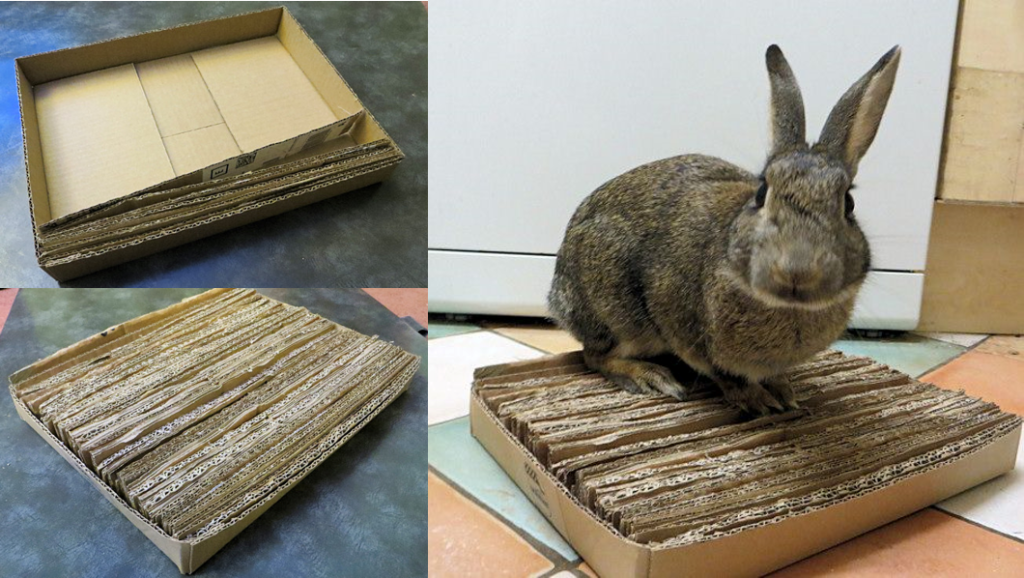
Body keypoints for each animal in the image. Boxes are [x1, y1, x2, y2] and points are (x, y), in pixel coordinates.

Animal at [548, 44, 901, 416]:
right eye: (761, 193)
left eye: (848, 204)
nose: (797, 271)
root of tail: (556, 295)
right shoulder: (683, 324)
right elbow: (722, 372)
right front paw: (758, 400)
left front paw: (784, 392)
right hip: (616, 311)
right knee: (594, 355)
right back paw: (649, 377)